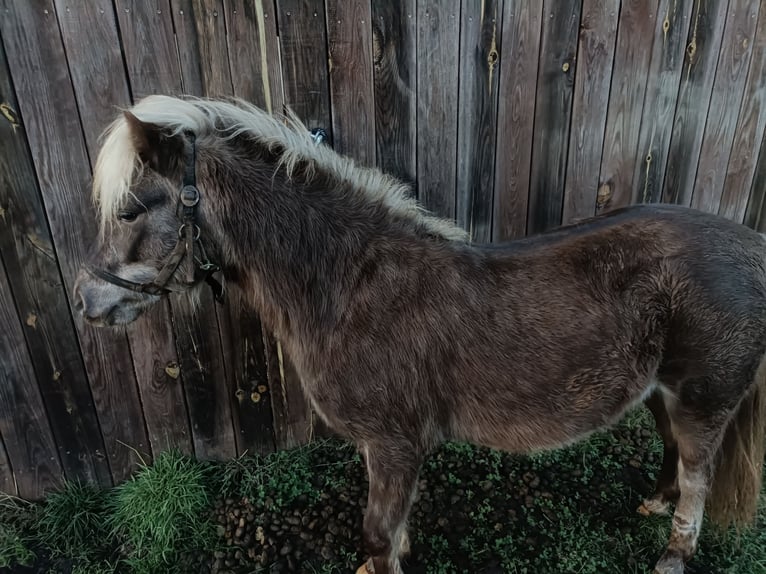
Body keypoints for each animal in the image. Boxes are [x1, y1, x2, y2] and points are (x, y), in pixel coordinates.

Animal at [73, 94, 766, 574]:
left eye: (130, 209)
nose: (85, 300)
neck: (350, 284)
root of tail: (754, 247)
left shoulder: (395, 444)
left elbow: (380, 537)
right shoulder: (386, 449)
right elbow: (392, 536)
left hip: (705, 399)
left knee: (699, 474)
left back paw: (674, 553)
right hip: (660, 393)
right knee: (673, 451)